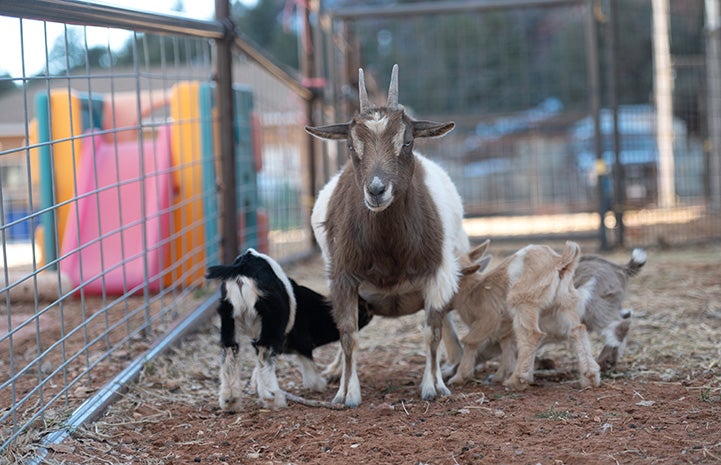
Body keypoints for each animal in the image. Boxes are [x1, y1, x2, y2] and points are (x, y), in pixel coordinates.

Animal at [306, 65, 470, 406]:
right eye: (351, 145)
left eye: (407, 142)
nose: (376, 189)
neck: (388, 248)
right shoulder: (343, 277)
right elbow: (348, 334)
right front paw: (346, 393)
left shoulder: (436, 272)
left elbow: (432, 331)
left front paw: (433, 386)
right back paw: (335, 371)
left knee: (445, 317)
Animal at [448, 241, 600, 390]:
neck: (474, 289)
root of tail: (559, 261)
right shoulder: (506, 328)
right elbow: (507, 346)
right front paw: (501, 375)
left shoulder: (487, 319)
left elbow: (470, 341)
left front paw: (459, 378)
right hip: (565, 304)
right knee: (577, 330)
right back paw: (590, 377)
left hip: (524, 301)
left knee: (533, 335)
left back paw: (516, 380)